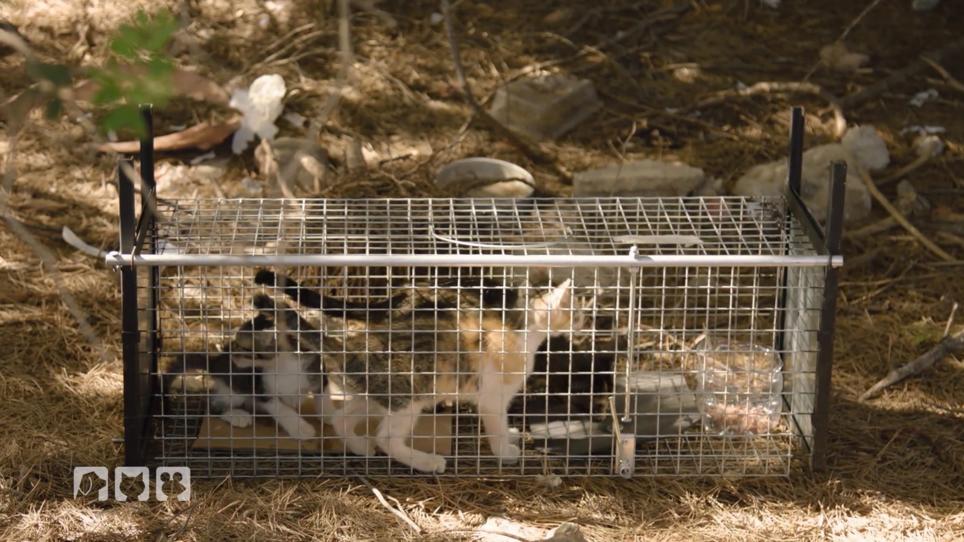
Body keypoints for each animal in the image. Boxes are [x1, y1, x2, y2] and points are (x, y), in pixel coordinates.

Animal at [162, 294, 332, 442]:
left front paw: (330, 415)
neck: (284, 365)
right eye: (234, 343)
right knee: (213, 406)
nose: (230, 351)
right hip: (234, 389)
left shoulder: (317, 371)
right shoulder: (261, 389)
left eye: (243, 347)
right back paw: (237, 415)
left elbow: (323, 396)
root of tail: (215, 363)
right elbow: (282, 409)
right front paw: (301, 428)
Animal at [254, 270, 572, 474]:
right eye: (575, 309)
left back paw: (360, 446)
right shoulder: (493, 398)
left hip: (375, 394)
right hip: (410, 396)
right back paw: (428, 462)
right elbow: (496, 426)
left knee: (341, 418)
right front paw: (505, 451)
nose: (582, 322)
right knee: (386, 439)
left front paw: (511, 435)